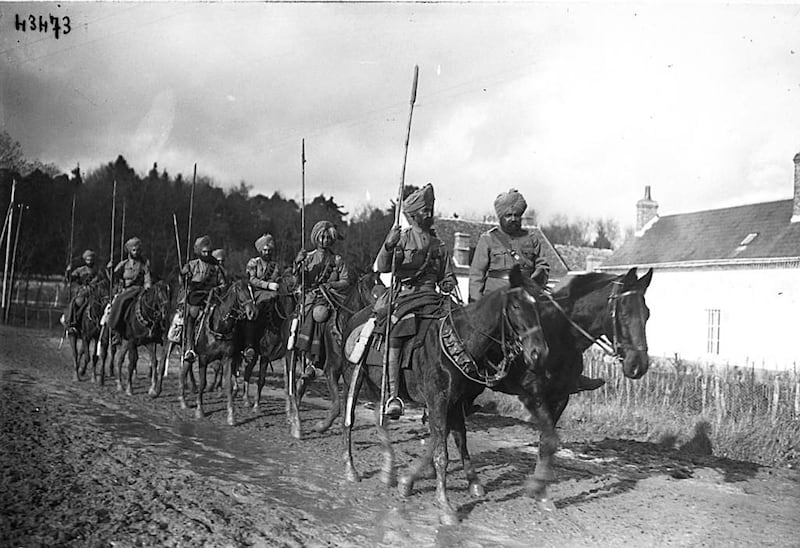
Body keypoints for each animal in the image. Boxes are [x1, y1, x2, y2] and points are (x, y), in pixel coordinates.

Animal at [170, 280, 255, 426]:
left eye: (252, 289)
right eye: (239, 289)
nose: (252, 312)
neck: (219, 326)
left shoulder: (227, 359)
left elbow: (228, 385)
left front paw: (231, 416)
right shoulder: (203, 359)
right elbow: (203, 383)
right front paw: (199, 411)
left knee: (184, 370)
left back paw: (183, 401)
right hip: (187, 349)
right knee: (184, 370)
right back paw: (183, 400)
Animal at [338, 266, 552, 528]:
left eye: (539, 305)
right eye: (516, 306)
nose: (539, 352)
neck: (460, 341)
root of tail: (355, 318)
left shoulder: (457, 403)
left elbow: (460, 441)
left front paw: (473, 483)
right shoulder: (438, 402)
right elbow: (442, 453)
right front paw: (445, 505)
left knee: (382, 421)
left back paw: (388, 470)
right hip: (353, 376)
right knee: (348, 419)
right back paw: (351, 469)